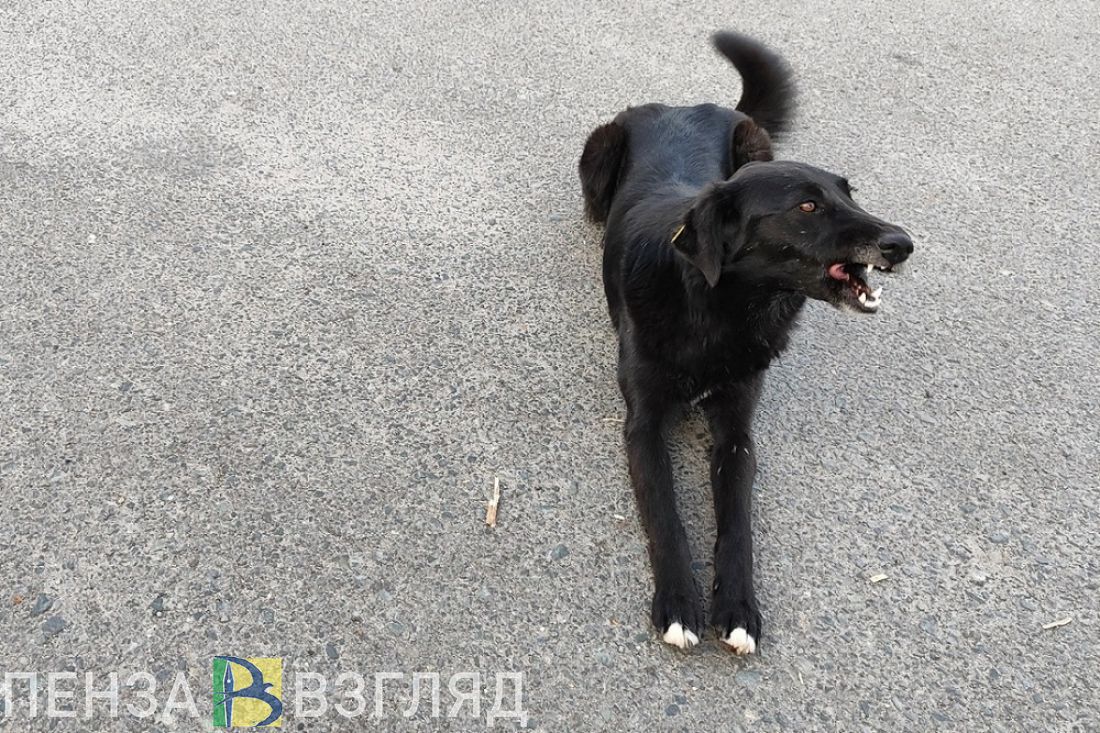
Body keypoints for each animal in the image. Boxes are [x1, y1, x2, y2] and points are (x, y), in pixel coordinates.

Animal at [578, 31, 913, 655]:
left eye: (850, 195)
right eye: (807, 206)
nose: (902, 243)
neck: (719, 314)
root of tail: (685, 104)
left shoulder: (736, 431)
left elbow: (737, 524)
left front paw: (736, 608)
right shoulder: (642, 425)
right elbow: (666, 516)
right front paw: (679, 603)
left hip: (754, 142)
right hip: (597, 155)